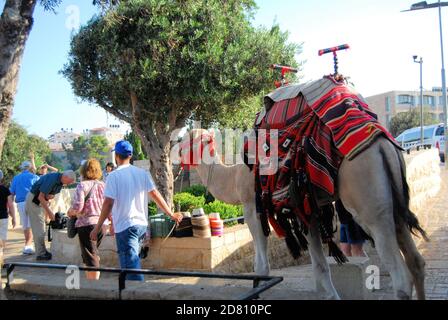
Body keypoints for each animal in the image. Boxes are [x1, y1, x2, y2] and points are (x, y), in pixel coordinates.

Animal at [178, 128, 428, 300]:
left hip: (368, 201)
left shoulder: (251, 208)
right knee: (416, 262)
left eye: (187, 139)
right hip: (394, 201)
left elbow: (261, 266)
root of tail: (384, 147)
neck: (234, 178)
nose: (176, 148)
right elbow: (320, 267)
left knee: (401, 276)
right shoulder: (307, 211)